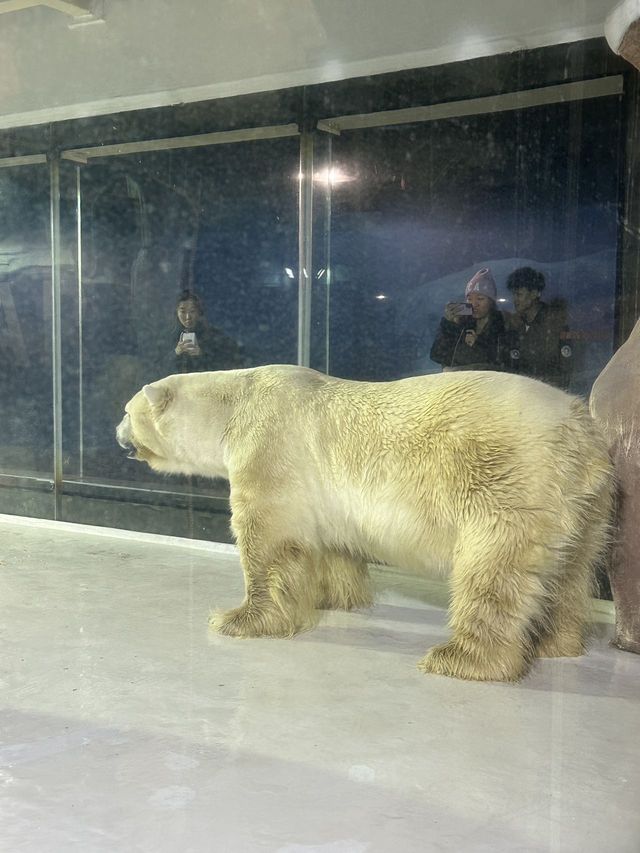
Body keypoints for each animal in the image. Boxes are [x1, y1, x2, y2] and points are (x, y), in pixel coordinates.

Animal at [117, 364, 612, 680]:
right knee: (569, 572)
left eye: (125, 411)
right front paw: (333, 598)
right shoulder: (328, 496)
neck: (231, 407)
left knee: (492, 571)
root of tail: (580, 430)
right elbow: (334, 545)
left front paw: (237, 618)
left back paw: (460, 659)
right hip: (587, 506)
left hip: (507, 482)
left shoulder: (269, 449)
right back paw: (556, 642)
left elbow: (269, 539)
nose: (116, 433)